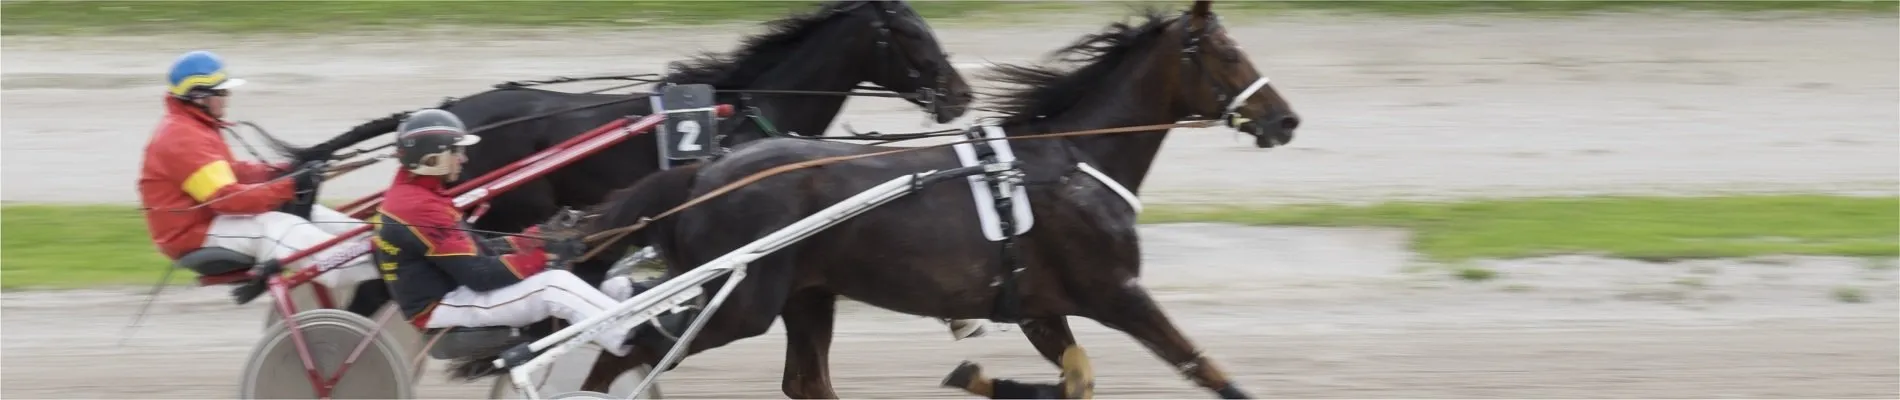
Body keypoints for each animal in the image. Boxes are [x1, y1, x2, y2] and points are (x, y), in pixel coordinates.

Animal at [565, 0, 1297, 397]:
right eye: (1228, 53)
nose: (1285, 119)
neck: (1074, 162)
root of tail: (704, 173)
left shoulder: (1039, 306)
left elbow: (1074, 376)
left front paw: (979, 378)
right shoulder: (1116, 292)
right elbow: (1206, 370)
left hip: (805, 295)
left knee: (804, 381)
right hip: (739, 303)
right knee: (629, 349)